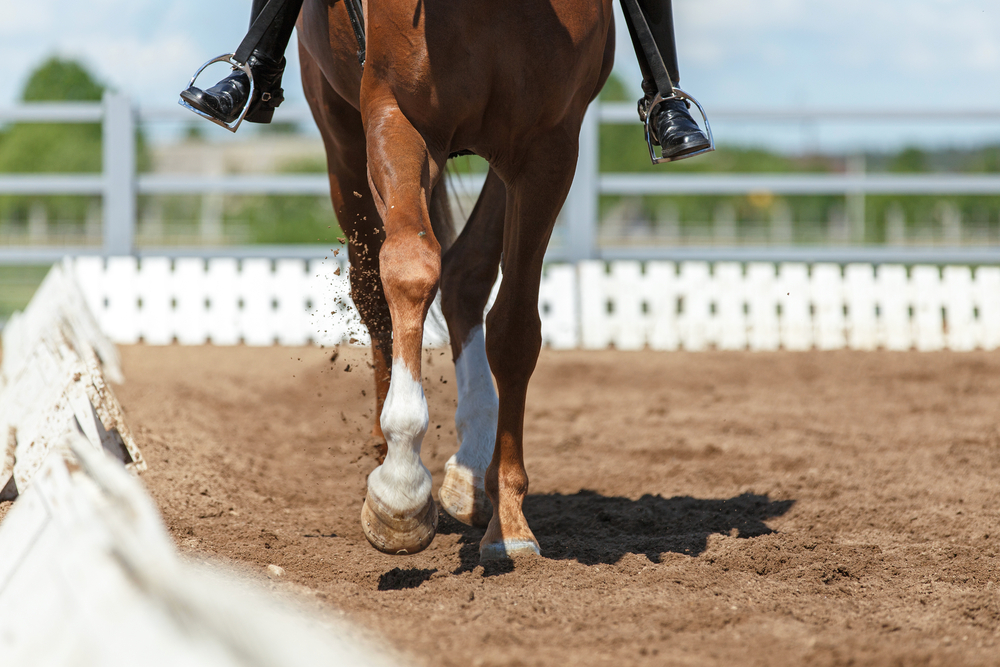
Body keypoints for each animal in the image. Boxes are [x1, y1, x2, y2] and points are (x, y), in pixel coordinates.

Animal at [296, 0, 615, 559]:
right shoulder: (398, 117)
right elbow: (411, 268)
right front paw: (400, 486)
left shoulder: (548, 147)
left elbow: (514, 330)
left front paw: (508, 520)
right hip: (341, 132)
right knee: (372, 288)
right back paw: (385, 452)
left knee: (467, 272)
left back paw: (471, 474)